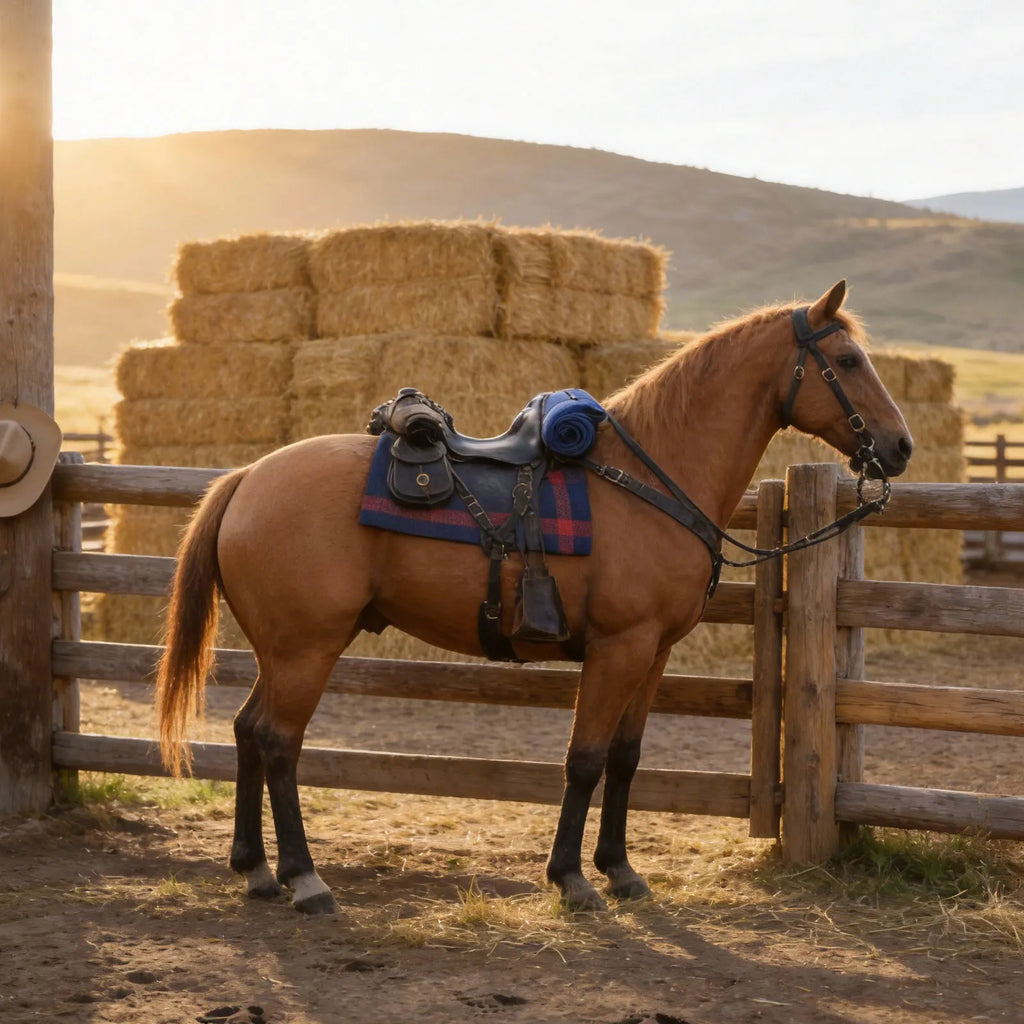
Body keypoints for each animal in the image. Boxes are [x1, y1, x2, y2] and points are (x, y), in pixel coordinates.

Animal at [156, 280, 912, 915]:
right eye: (847, 360)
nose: (901, 447)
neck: (648, 478)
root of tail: (247, 478)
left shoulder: (654, 653)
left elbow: (625, 759)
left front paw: (621, 870)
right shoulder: (618, 648)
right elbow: (584, 759)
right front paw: (573, 879)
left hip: (282, 652)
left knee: (247, 732)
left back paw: (255, 869)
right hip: (307, 649)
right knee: (279, 743)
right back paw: (305, 879)